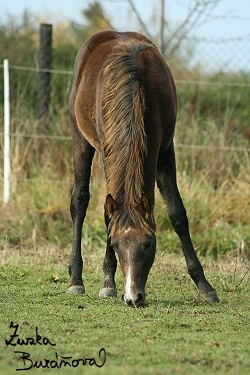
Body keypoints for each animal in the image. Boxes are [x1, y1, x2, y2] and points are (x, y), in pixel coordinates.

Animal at [67, 30, 220, 308]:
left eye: (149, 244)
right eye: (116, 245)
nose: (133, 297)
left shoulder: (165, 151)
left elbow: (177, 214)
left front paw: (205, 287)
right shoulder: (108, 151)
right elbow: (106, 215)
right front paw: (107, 283)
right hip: (81, 140)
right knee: (79, 200)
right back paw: (78, 280)